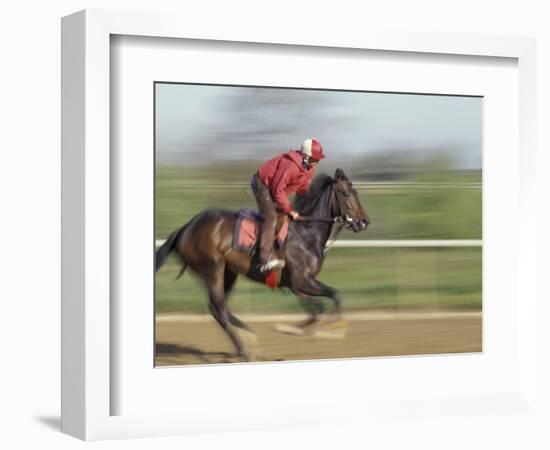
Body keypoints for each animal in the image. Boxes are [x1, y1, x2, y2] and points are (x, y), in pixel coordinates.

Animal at [155, 169, 370, 362]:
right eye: (347, 193)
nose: (364, 221)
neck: (306, 233)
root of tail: (185, 228)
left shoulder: (299, 285)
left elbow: (320, 307)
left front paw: (305, 328)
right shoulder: (301, 281)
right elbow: (327, 301)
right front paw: (326, 329)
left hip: (229, 273)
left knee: (217, 308)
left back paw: (248, 337)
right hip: (212, 268)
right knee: (219, 308)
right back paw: (244, 348)